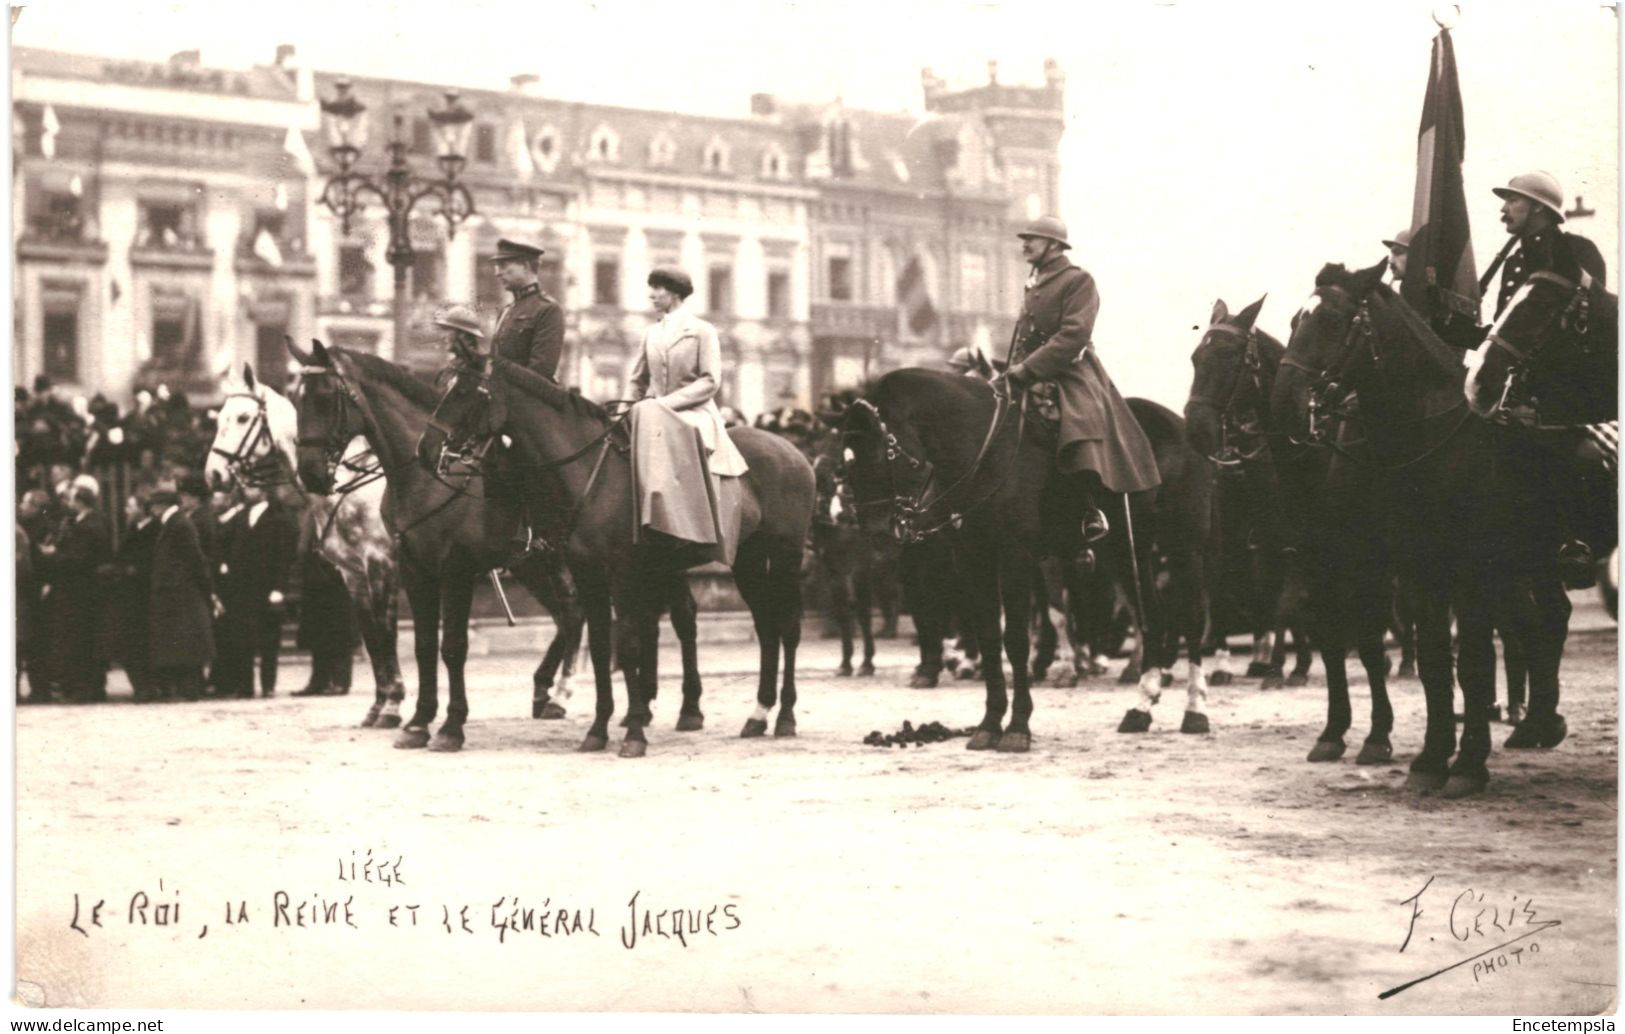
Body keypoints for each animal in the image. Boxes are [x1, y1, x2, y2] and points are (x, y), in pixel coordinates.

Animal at [286, 339, 611, 751]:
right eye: (295, 398)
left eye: (327, 396)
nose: (310, 473)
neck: (423, 479)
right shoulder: (405, 570)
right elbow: (417, 644)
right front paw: (417, 722)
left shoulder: (449, 569)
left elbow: (450, 645)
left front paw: (446, 725)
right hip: (533, 564)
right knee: (568, 616)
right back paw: (547, 694)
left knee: (576, 613)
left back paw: (565, 694)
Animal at [845, 367, 1215, 747]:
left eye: (878, 454)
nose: (874, 530)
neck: (982, 448)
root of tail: (1182, 426)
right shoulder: (972, 557)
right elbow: (989, 636)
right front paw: (989, 724)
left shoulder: (1016, 557)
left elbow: (1018, 638)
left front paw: (1018, 727)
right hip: (1129, 551)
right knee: (1152, 618)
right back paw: (1140, 708)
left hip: (1183, 547)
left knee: (1191, 619)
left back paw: (1195, 711)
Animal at [1183, 294, 1397, 764]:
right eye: (1195, 358)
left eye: (1230, 358)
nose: (1196, 431)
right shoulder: (1296, 559)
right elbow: (1311, 625)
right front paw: (1332, 729)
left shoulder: (1363, 566)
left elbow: (1364, 638)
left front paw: (1377, 735)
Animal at [1267, 261, 1560, 796]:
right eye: (1296, 321)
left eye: (1333, 321)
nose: (1284, 406)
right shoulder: (1378, 564)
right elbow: (1421, 657)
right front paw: (1419, 755)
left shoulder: (1451, 569)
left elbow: (1464, 658)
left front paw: (1458, 762)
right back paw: (1538, 722)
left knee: (1538, 622)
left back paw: (1532, 720)